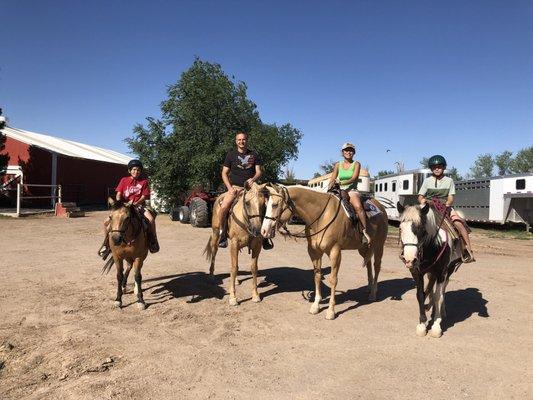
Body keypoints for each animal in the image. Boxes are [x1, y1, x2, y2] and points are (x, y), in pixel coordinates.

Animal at [258, 186, 386, 320]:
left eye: (275, 205)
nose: (264, 231)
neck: (322, 216)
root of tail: (381, 207)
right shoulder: (314, 252)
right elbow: (317, 276)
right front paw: (316, 306)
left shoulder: (335, 252)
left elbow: (333, 280)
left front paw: (331, 311)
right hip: (363, 247)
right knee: (368, 263)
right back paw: (369, 287)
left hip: (379, 245)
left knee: (377, 266)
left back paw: (373, 293)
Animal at [396, 203, 464, 338]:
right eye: (400, 228)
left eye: (422, 229)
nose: (409, 259)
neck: (433, 247)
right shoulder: (417, 273)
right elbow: (420, 295)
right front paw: (422, 324)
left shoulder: (441, 273)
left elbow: (439, 296)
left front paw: (436, 326)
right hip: (430, 273)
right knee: (431, 289)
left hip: (448, 271)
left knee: (442, 290)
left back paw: (441, 311)